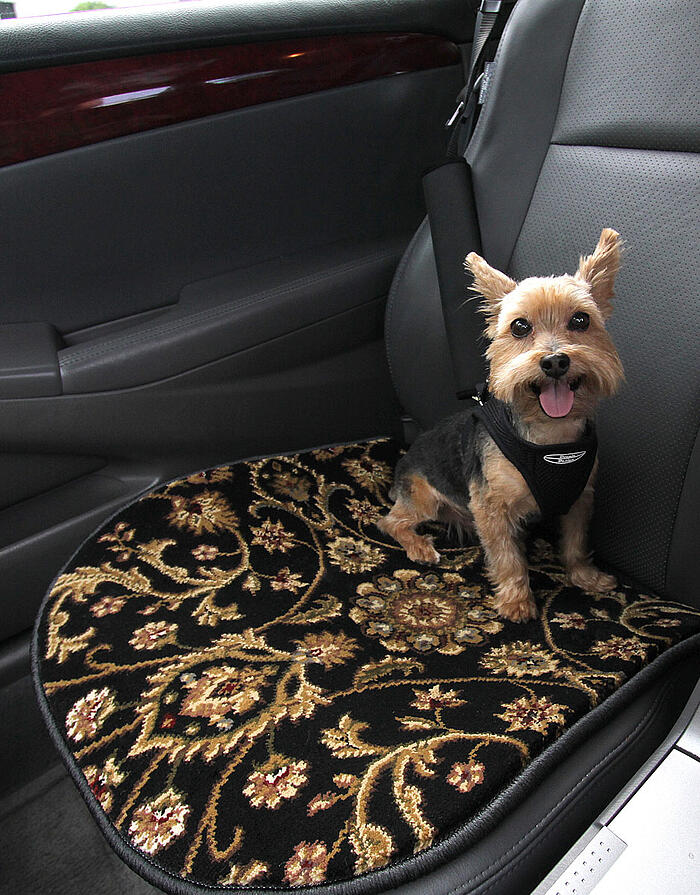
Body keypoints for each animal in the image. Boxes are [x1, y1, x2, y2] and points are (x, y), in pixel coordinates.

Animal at [380, 228, 628, 624]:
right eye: (520, 326)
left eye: (581, 321)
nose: (555, 361)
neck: (549, 440)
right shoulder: (491, 507)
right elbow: (508, 557)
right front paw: (516, 601)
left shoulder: (579, 498)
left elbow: (575, 543)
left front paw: (585, 577)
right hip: (422, 495)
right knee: (391, 522)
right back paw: (419, 546)